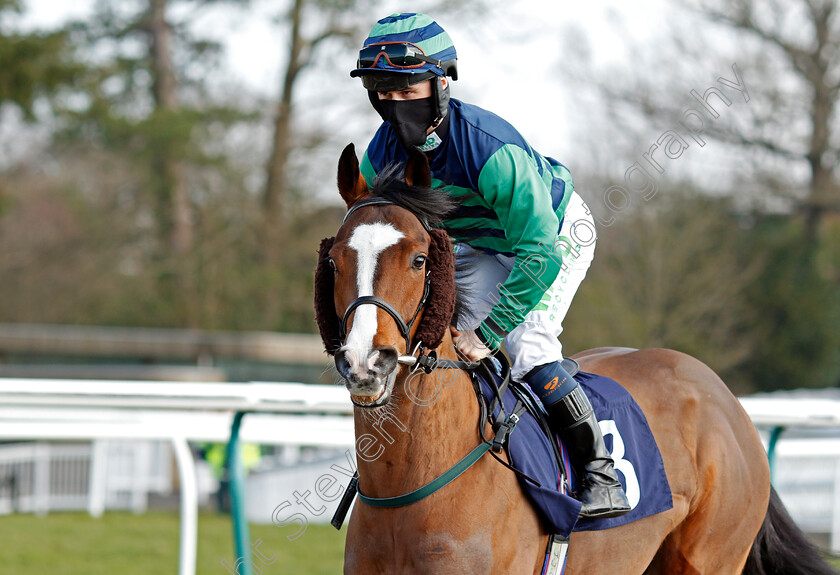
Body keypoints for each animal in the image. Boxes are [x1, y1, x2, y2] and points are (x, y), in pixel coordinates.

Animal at [314, 144, 832, 575]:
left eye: (420, 260)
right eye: (334, 262)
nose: (367, 361)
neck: (410, 489)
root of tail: (724, 397)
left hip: (710, 557)